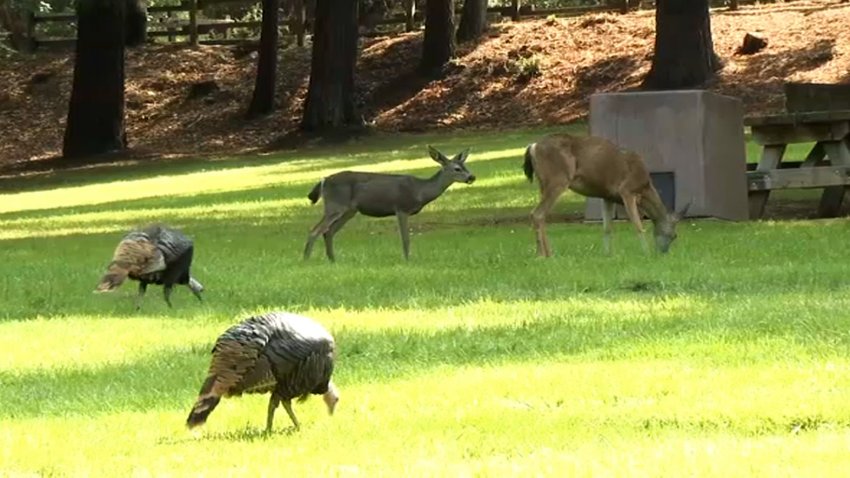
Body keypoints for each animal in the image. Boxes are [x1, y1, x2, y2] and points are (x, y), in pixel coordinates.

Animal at [302, 148, 474, 264]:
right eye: (457, 169)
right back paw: (306, 260)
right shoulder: (401, 207)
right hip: (335, 205)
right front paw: (407, 260)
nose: (472, 177)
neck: (420, 191)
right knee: (315, 230)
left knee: (328, 231)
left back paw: (333, 260)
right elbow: (405, 238)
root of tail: (324, 180)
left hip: (349, 211)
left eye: (466, 166)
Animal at [524, 131, 688, 258]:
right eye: (674, 236)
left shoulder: (607, 196)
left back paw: (548, 253)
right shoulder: (626, 190)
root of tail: (533, 146)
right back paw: (542, 255)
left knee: (541, 215)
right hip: (558, 179)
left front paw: (608, 254)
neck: (644, 187)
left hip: (543, 184)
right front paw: (646, 253)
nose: (663, 252)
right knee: (537, 213)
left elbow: (607, 228)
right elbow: (638, 224)